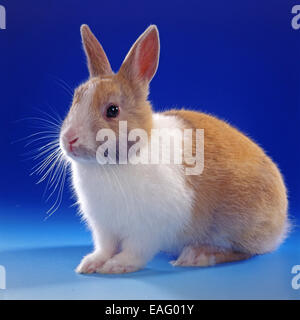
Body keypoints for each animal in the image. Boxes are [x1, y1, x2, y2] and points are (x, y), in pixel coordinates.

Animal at [59, 25, 288, 274]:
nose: (68, 139)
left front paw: (116, 266)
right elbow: (105, 248)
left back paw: (197, 256)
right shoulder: (104, 228)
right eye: (75, 99)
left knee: (243, 252)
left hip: (236, 223)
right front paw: (89, 264)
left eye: (112, 110)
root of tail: (282, 220)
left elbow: (134, 252)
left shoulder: (146, 230)